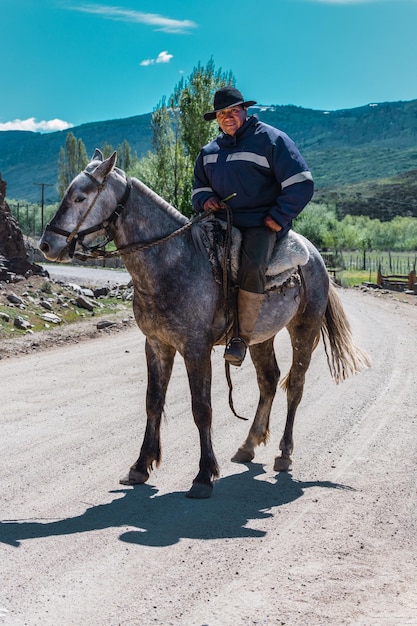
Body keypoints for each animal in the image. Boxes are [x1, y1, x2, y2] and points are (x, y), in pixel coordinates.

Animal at [39, 151, 368, 498]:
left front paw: (203, 475)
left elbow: (202, 408)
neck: (171, 261)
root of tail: (315, 255)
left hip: (304, 329)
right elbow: (153, 402)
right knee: (268, 380)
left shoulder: (196, 349)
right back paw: (248, 445)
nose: (46, 245)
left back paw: (284, 453)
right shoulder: (156, 344)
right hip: (260, 337)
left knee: (295, 385)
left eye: (80, 196)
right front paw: (140, 466)